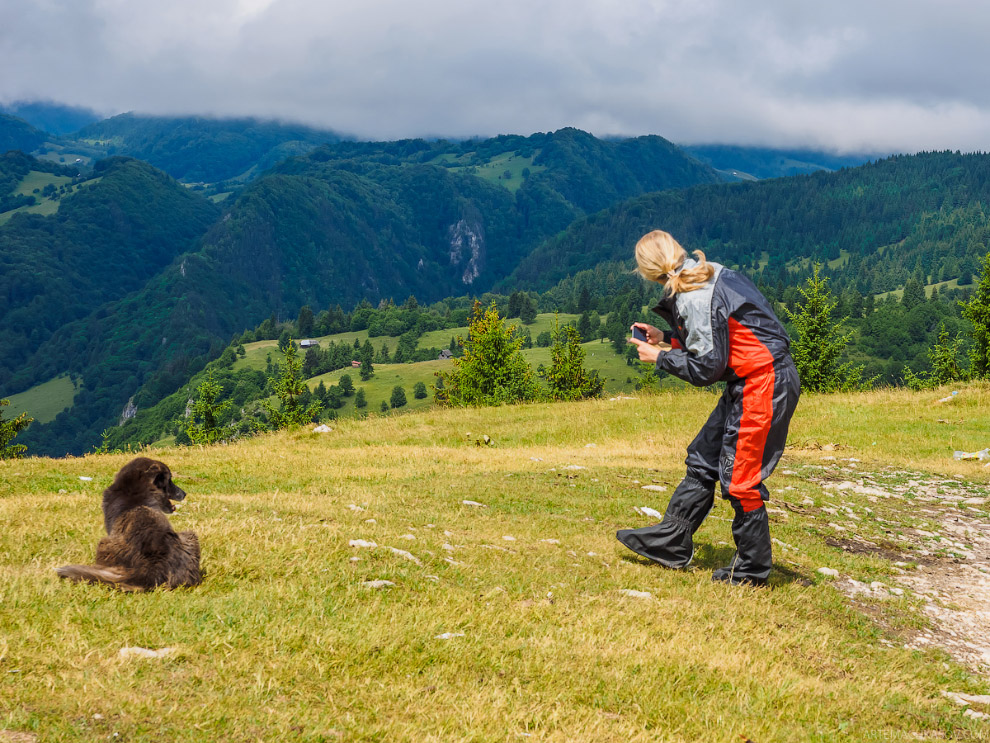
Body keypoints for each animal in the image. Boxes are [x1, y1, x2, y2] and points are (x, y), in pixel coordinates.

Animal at [55, 456, 202, 588]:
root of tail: (151, 568)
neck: (134, 488)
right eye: (169, 480)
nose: (184, 493)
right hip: (191, 537)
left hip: (104, 543)